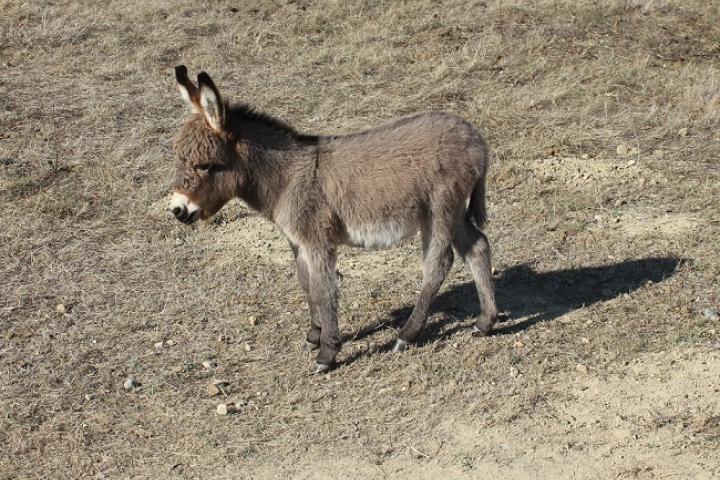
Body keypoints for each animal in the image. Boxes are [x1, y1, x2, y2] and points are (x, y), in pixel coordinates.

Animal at [169, 66, 498, 376]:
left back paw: (406, 336)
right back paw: (485, 322)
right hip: (453, 212)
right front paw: (314, 335)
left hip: (439, 209)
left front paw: (327, 354)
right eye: (181, 160)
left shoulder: (317, 241)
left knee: (439, 263)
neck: (286, 179)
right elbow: (306, 283)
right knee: (477, 246)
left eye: (205, 165)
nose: (177, 210)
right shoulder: (298, 243)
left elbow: (324, 289)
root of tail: (475, 137)